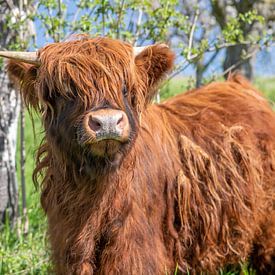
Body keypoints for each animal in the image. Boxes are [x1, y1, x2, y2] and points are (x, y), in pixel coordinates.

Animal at [1, 36, 274, 274]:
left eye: (124, 88)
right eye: (67, 91)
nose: (107, 121)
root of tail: (241, 86)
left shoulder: (134, 249)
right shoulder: (67, 244)